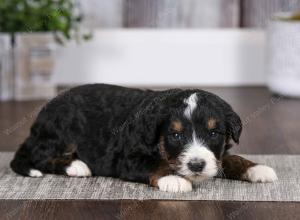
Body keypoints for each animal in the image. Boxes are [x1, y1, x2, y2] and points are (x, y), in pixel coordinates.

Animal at [10, 83, 278, 192]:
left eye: (213, 133)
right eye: (175, 135)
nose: (196, 165)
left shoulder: (218, 153)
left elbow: (229, 158)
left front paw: (257, 168)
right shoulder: (128, 159)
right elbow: (156, 165)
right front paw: (175, 179)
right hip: (62, 131)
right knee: (39, 157)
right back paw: (76, 166)